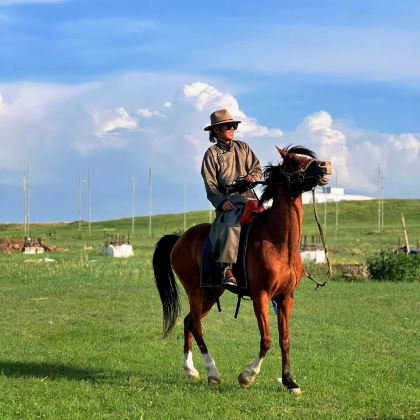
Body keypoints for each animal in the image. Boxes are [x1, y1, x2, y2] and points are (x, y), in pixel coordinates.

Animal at [153, 145, 330, 394]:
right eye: (295, 160)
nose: (324, 167)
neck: (278, 241)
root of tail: (180, 239)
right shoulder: (260, 296)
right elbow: (267, 339)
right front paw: (247, 376)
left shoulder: (286, 297)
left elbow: (284, 340)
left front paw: (289, 381)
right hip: (195, 291)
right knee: (197, 327)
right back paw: (212, 373)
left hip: (211, 293)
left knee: (188, 322)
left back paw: (191, 370)